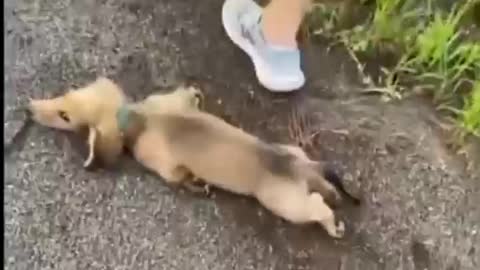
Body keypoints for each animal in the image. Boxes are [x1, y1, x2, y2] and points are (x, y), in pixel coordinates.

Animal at [117, 105, 360, 238]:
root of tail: (295, 166)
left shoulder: (164, 163)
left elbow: (177, 177)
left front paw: (196, 184)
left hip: (283, 202)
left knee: (316, 206)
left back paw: (333, 226)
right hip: (298, 159)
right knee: (324, 188)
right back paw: (334, 197)